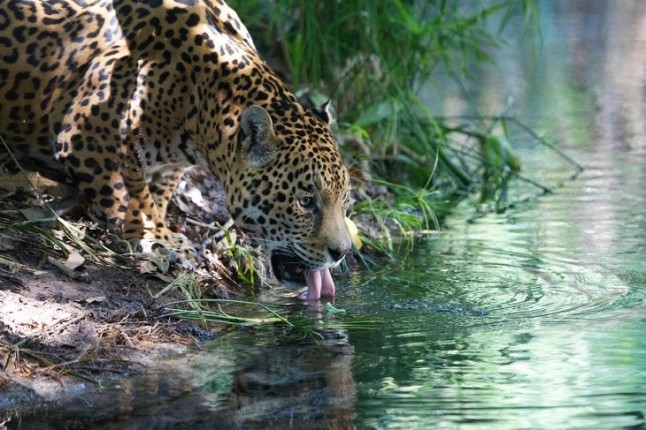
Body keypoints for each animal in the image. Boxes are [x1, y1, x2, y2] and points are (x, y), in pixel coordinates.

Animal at [0, 0, 352, 300]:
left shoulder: (171, 164)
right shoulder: (82, 131)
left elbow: (154, 192)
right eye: (305, 202)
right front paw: (156, 236)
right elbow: (125, 192)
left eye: (345, 200)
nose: (342, 253)